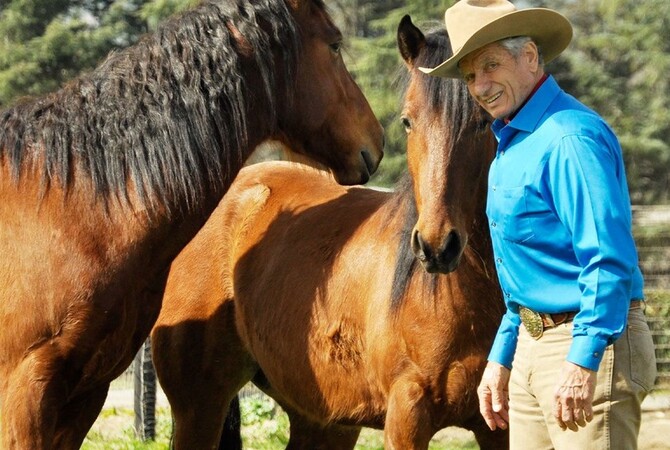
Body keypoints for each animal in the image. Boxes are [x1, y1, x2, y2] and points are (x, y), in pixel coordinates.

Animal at [154, 14, 510, 450]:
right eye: (408, 120)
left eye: (485, 120)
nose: (436, 246)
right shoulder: (407, 417)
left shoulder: (497, 424)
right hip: (199, 406)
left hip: (323, 420)